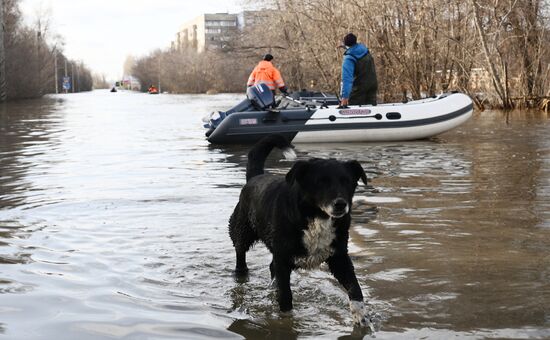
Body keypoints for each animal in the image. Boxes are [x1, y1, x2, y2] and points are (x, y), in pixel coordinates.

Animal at [229, 135, 376, 326]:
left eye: (347, 181)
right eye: (321, 182)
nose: (340, 204)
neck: (317, 216)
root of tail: (256, 177)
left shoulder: (339, 257)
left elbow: (355, 287)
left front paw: (362, 318)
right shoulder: (283, 259)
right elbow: (285, 296)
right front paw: (286, 322)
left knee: (271, 267)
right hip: (242, 232)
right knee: (241, 255)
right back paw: (241, 274)